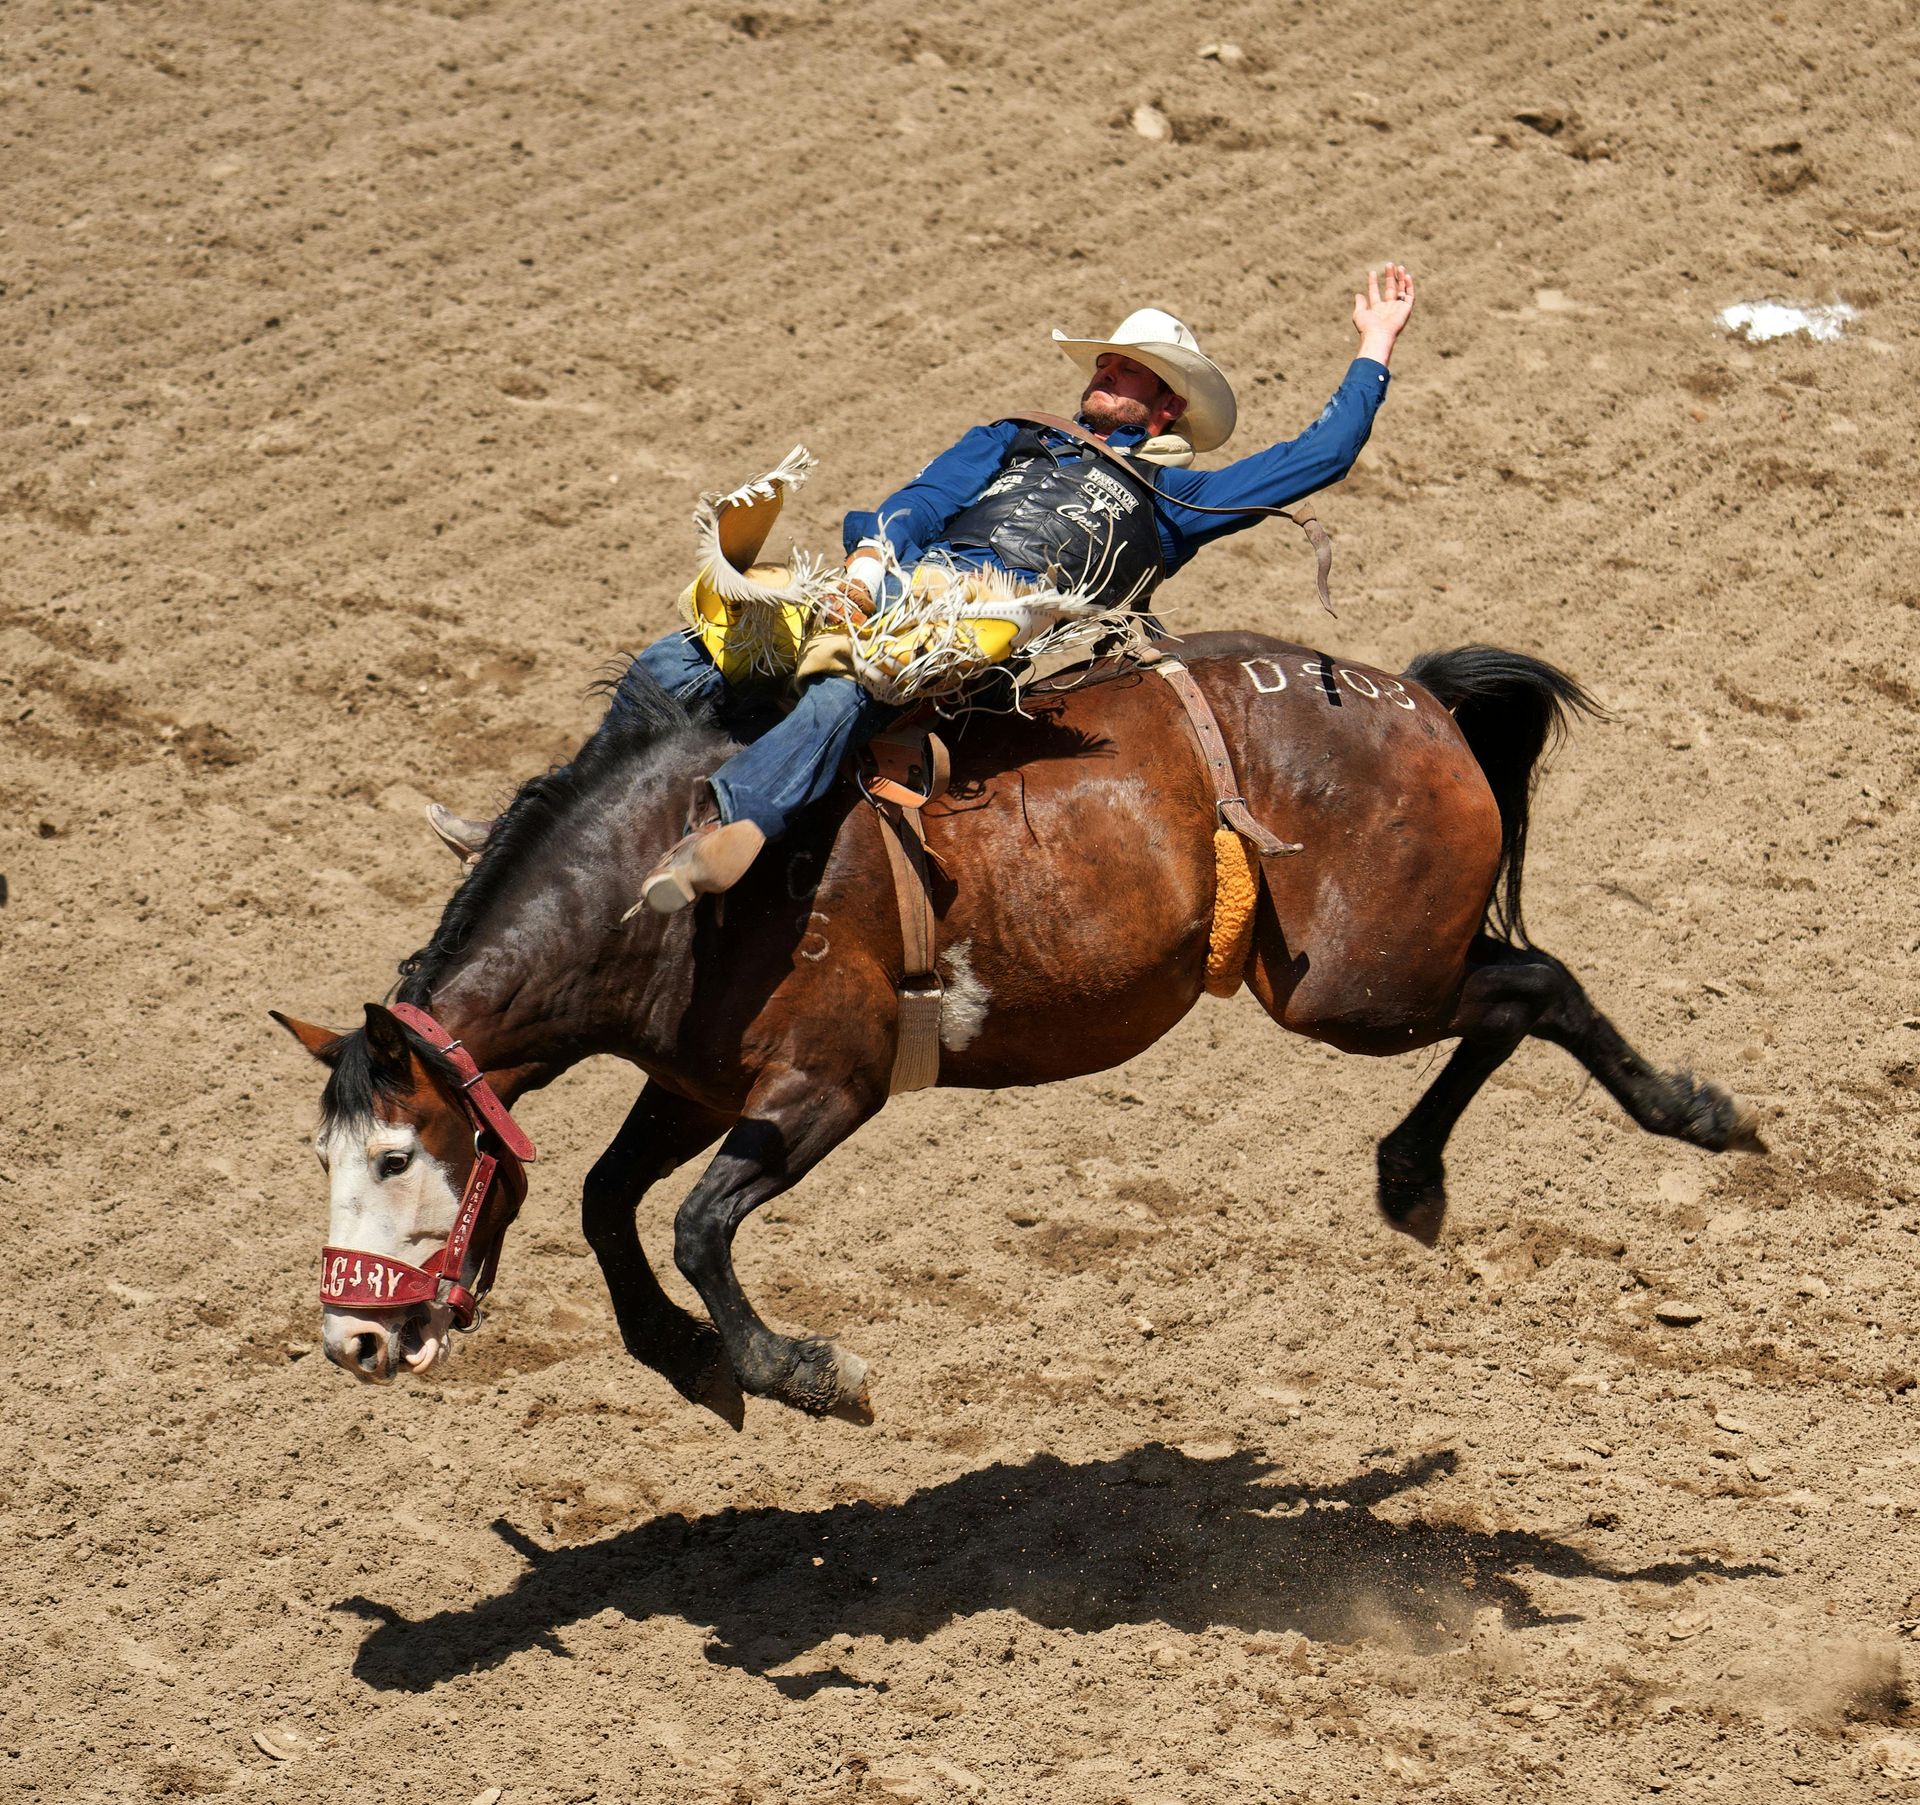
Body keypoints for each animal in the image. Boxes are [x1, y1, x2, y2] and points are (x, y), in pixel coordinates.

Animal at [274, 632, 1763, 1427]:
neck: (684, 874)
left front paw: (804, 1371)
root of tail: (1417, 699)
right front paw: (686, 1357)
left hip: (1358, 989)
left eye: (397, 1157)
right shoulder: (694, 1083)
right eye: (325, 1160)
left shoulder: (826, 1085)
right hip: (1368, 981)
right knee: (1517, 991)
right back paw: (1420, 1176)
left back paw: (1672, 1118)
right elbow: (602, 1199)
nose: (352, 1344)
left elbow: (696, 1222)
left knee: (1540, 985)